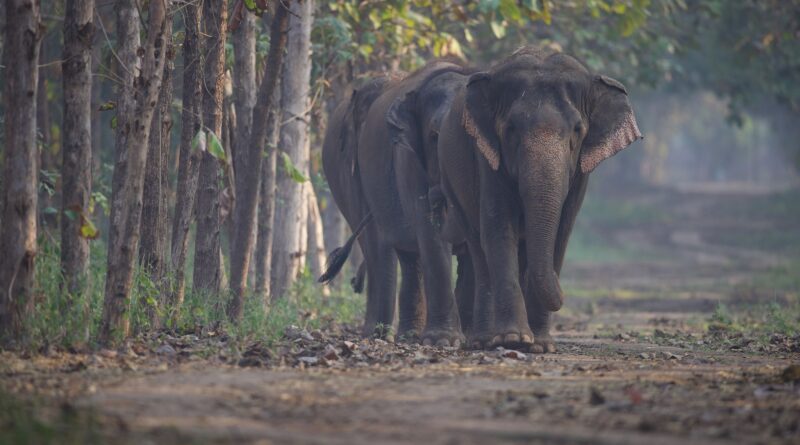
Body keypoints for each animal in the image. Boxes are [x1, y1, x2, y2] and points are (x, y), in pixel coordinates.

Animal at [321, 59, 475, 346]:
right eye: (434, 136)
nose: (354, 283)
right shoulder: (392, 159)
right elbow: (422, 233)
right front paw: (443, 342)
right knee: (400, 253)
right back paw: (394, 335)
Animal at [437, 47, 642, 351]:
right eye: (510, 129)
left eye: (577, 130)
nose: (564, 295)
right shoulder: (487, 155)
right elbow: (498, 227)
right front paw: (514, 339)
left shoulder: (580, 172)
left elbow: (561, 232)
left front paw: (541, 345)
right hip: (450, 179)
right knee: (478, 247)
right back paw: (483, 340)